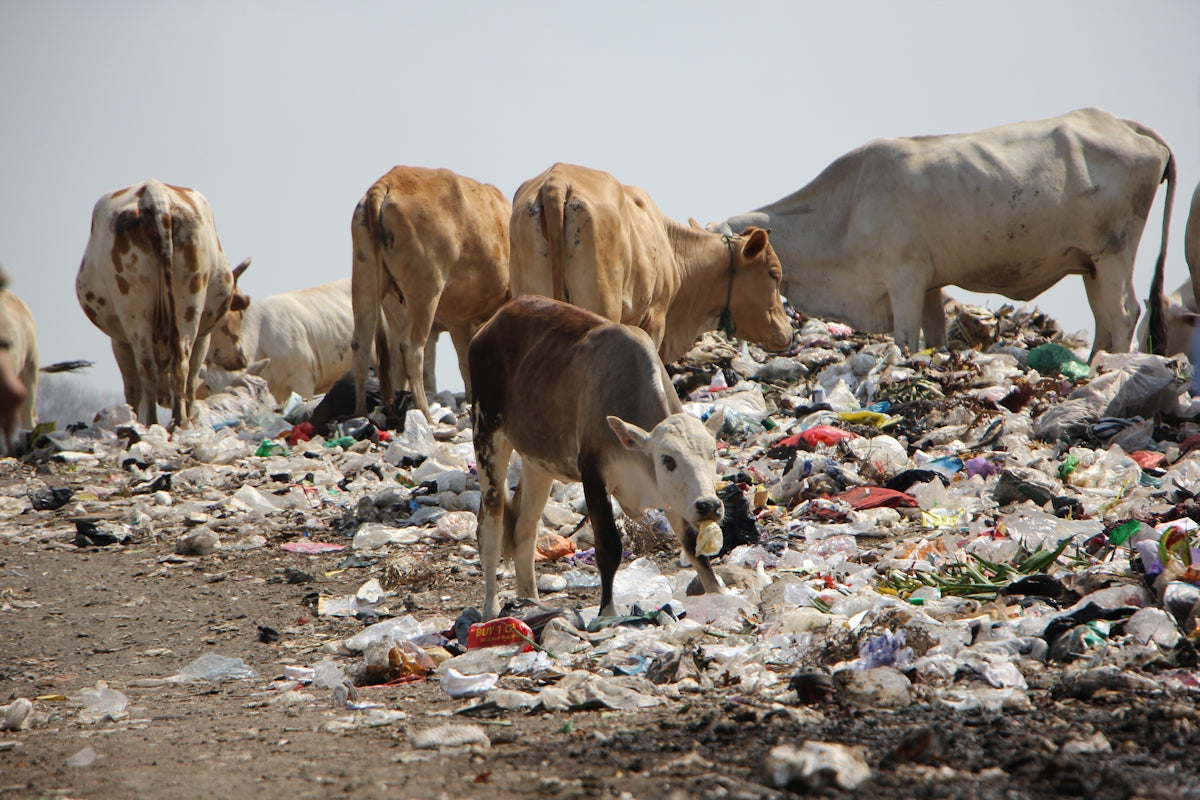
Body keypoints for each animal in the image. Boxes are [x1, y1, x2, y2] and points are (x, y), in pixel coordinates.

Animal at [76, 180, 248, 426]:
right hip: (187, 305)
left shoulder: (120, 340)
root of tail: (154, 192)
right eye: (239, 315)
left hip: (135, 311)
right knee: (178, 367)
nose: (241, 358)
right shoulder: (203, 337)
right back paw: (176, 421)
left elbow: (134, 387)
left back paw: (154, 423)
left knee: (154, 370)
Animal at [350, 166, 511, 422]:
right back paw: (425, 413)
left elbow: (465, 360)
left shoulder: (459, 318)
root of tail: (387, 182)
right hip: (425, 290)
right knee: (411, 349)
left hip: (366, 277)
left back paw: (361, 413)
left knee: (362, 344)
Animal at [471, 294, 726, 620]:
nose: (709, 506)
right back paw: (491, 610)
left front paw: (720, 597)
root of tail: (493, 321)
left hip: (538, 462)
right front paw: (607, 613)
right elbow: (609, 547)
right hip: (487, 436)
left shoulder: (672, 497)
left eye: (712, 454)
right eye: (667, 459)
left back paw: (531, 602)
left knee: (523, 530)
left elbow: (694, 547)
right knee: (490, 528)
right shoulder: (593, 473)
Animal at [709, 108, 1176, 359]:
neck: (845, 211)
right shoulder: (930, 283)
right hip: (1091, 263)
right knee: (1105, 317)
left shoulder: (904, 278)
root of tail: (1120, 123)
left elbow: (906, 342)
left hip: (1113, 252)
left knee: (1124, 314)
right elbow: (933, 339)